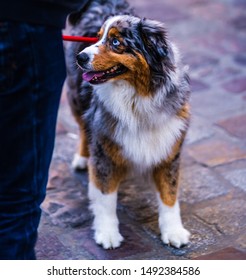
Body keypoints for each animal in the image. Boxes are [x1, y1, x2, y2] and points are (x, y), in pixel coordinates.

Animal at [65, 2, 190, 249]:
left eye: (115, 42)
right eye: (97, 38)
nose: (80, 57)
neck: (136, 98)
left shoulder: (169, 149)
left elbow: (169, 196)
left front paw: (173, 231)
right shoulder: (104, 151)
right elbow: (106, 198)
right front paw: (107, 233)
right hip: (75, 98)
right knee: (83, 128)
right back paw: (83, 158)